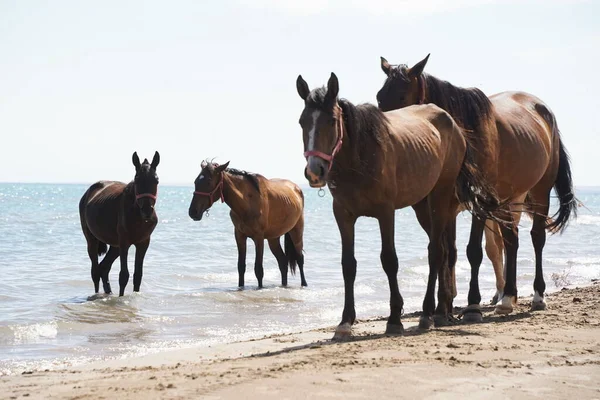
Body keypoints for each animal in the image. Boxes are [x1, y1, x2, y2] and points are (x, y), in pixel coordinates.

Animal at [78, 152, 161, 296]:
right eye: (137, 180)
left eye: (156, 180)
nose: (147, 211)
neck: (137, 215)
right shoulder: (124, 243)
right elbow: (124, 276)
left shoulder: (143, 243)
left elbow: (138, 275)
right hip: (92, 240)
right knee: (95, 271)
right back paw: (97, 294)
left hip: (115, 246)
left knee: (103, 268)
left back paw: (109, 293)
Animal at [189, 161, 310, 290]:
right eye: (195, 181)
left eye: (208, 181)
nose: (193, 212)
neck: (248, 203)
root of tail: (297, 189)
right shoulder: (239, 236)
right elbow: (241, 267)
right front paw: (240, 287)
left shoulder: (259, 237)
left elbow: (258, 269)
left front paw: (260, 288)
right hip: (273, 238)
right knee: (282, 262)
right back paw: (284, 285)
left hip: (296, 231)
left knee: (299, 258)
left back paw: (304, 284)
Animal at [296, 72, 502, 338]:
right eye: (302, 122)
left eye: (332, 121)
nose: (314, 171)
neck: (360, 157)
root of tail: (452, 123)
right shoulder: (343, 215)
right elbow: (348, 265)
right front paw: (345, 321)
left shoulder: (386, 213)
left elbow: (389, 260)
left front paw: (394, 318)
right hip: (422, 207)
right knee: (444, 252)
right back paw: (441, 311)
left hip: (440, 198)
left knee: (436, 253)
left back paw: (428, 314)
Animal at [378, 54, 580, 320]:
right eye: (380, 97)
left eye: (402, 97)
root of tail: (544, 111)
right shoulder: (444, 204)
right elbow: (447, 252)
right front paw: (444, 307)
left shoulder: (479, 201)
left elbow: (472, 251)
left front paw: (472, 305)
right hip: (508, 197)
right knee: (511, 240)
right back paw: (507, 297)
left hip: (539, 192)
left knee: (536, 238)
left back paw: (537, 296)